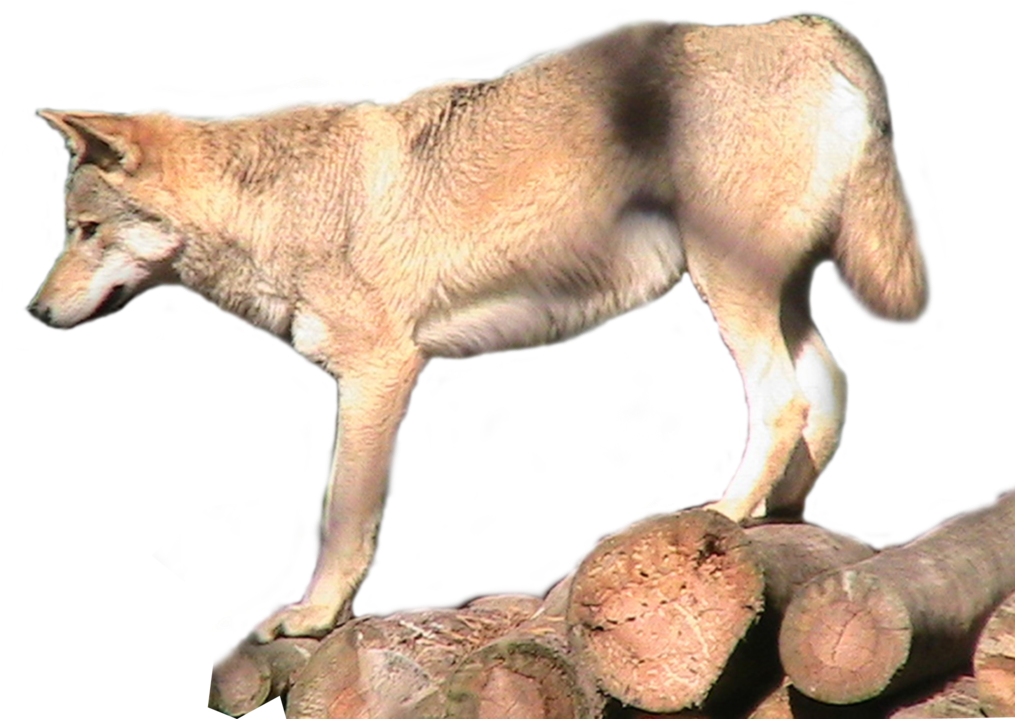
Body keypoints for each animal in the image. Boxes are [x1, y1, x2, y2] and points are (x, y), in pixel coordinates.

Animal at [27, 14, 931, 642]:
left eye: (85, 231)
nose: (33, 314)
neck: (277, 205)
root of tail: (803, 28)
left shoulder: (380, 374)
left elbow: (340, 519)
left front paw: (310, 618)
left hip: (728, 287)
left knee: (782, 401)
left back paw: (724, 516)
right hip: (771, 295)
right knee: (827, 389)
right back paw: (782, 513)